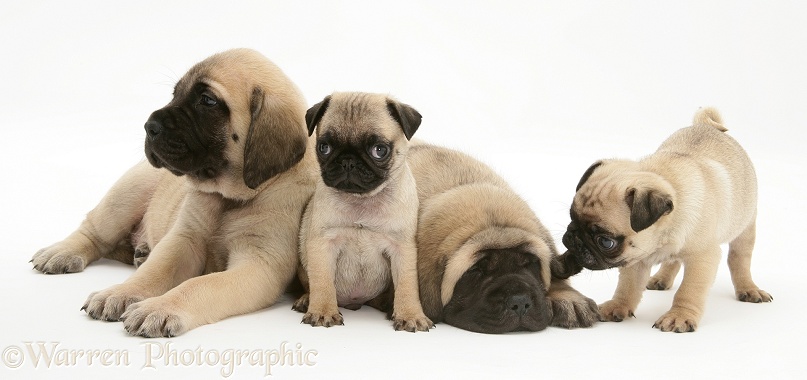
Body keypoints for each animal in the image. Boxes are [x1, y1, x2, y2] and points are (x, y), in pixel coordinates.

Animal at [30, 49, 318, 336]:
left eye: (207, 100)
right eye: (175, 94)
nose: (149, 126)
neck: (227, 198)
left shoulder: (259, 264)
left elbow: (201, 285)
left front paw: (160, 308)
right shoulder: (184, 239)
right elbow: (155, 271)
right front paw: (120, 292)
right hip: (127, 194)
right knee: (94, 232)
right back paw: (61, 252)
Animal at [292, 92, 436, 332]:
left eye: (379, 150)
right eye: (324, 147)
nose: (348, 161)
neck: (362, 201)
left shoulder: (402, 249)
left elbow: (407, 286)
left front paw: (410, 315)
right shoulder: (323, 244)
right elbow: (322, 282)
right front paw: (322, 311)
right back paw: (306, 300)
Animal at [552, 107, 772, 332]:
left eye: (606, 242)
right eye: (571, 217)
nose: (573, 237)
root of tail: (706, 125)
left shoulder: (703, 258)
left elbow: (689, 290)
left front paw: (679, 316)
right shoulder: (635, 258)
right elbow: (628, 286)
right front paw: (618, 305)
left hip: (745, 226)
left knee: (739, 259)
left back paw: (748, 288)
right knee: (673, 261)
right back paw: (661, 278)